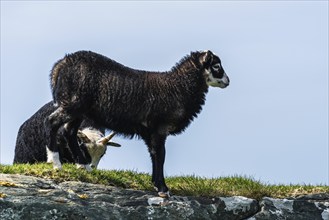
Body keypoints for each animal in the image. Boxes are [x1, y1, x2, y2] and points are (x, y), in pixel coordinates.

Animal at [44, 49, 229, 196]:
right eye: (216, 66)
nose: (228, 81)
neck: (179, 87)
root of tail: (61, 64)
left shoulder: (151, 132)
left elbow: (154, 155)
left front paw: (156, 184)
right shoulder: (159, 128)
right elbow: (160, 156)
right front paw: (163, 189)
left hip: (79, 108)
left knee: (69, 131)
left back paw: (83, 166)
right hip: (73, 103)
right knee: (51, 122)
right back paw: (55, 162)